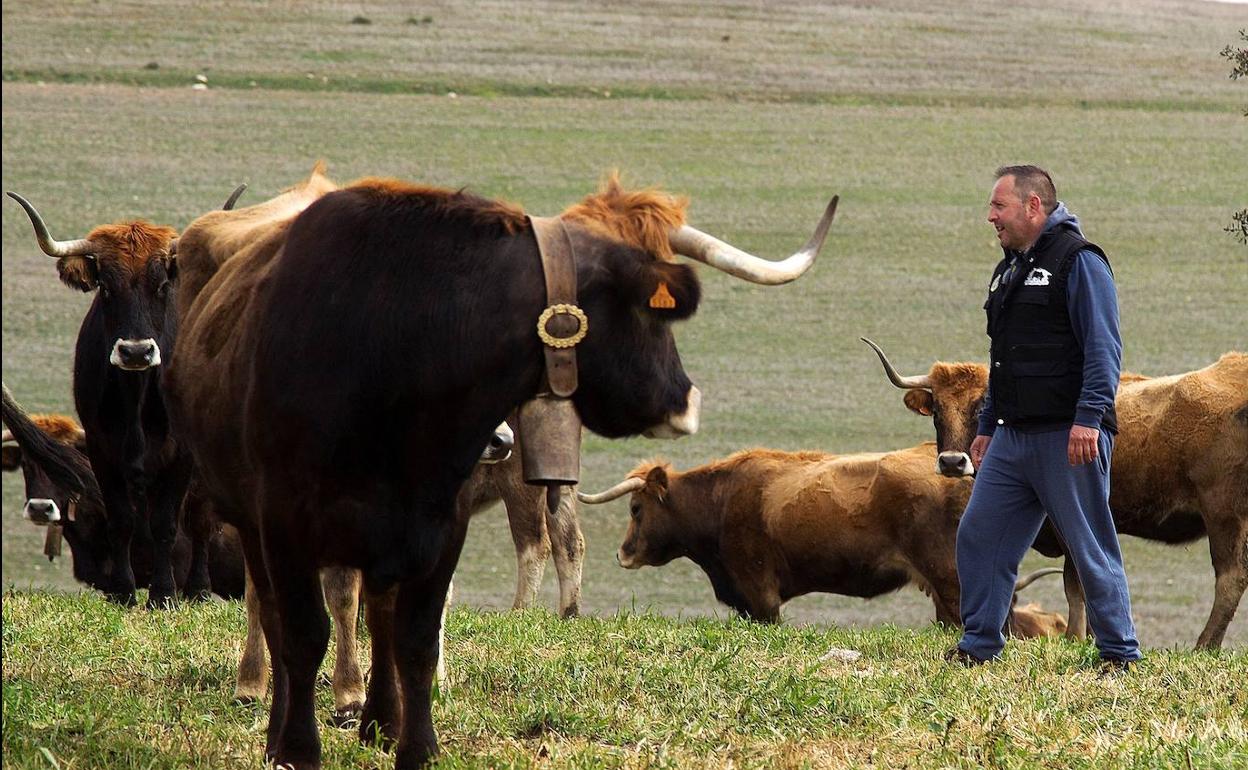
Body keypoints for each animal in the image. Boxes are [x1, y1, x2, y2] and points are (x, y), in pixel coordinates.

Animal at [6, 187, 245, 608]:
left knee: (200, 520)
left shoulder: (181, 456)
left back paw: (198, 589)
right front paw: (124, 591)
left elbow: (166, 522)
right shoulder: (102, 449)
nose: (136, 352)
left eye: (162, 285)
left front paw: (163, 594)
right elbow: (122, 519)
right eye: (105, 286)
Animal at [164, 165, 836, 769]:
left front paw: (413, 734)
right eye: (652, 310)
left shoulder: (450, 517)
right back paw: (264, 689)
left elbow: (418, 627)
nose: (687, 400)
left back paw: (382, 712)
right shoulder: (285, 521)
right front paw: (300, 741)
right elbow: (307, 627)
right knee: (278, 607)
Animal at [863, 338, 1248, 649]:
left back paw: (1204, 645)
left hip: (1224, 513)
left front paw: (1074, 638)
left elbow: (1076, 582)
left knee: (1230, 577)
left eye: (981, 407)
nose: (953, 462)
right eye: (937, 411)